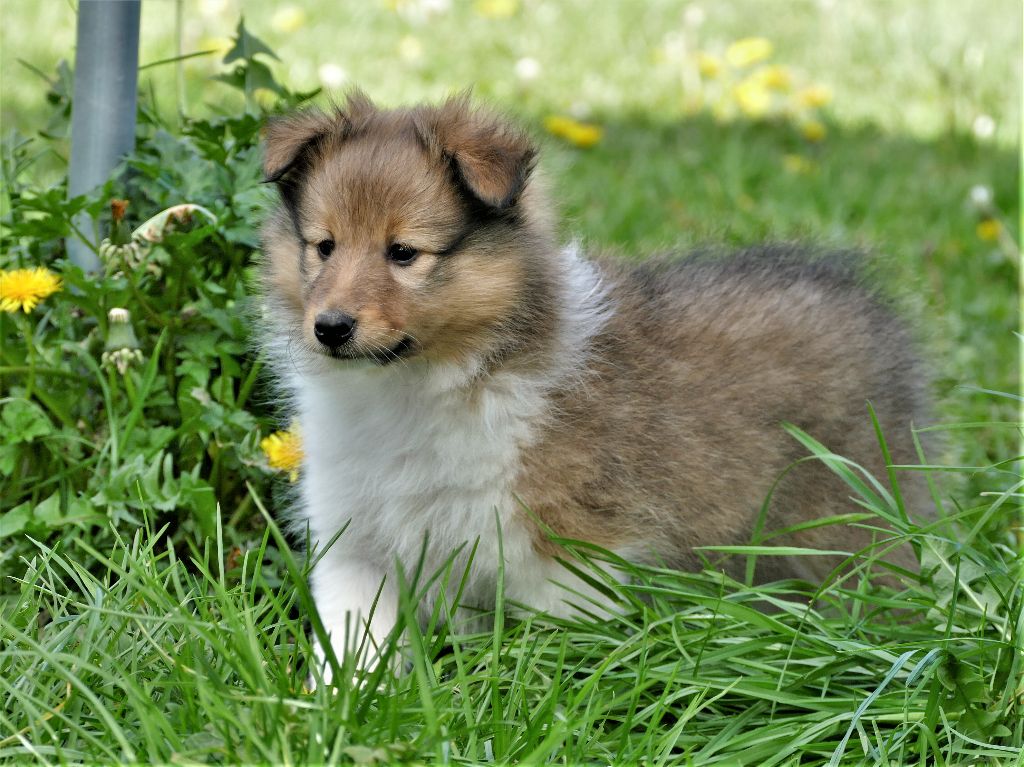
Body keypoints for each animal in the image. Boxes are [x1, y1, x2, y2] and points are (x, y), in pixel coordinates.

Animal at [258, 91, 929, 678]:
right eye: (323, 246)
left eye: (403, 253)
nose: (331, 328)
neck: (414, 386)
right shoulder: (356, 544)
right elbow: (351, 644)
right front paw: (333, 715)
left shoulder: (565, 553)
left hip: (841, 527)